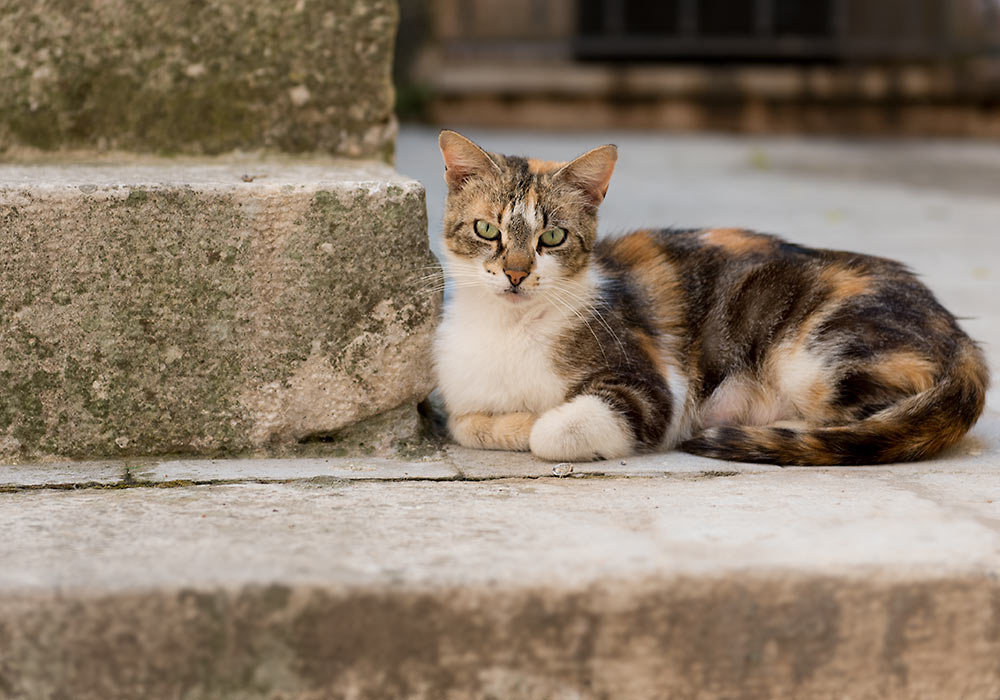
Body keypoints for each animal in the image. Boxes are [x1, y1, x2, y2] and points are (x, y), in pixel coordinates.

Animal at [434, 130, 988, 470]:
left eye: (552, 237)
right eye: (487, 230)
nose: (516, 273)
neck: (511, 330)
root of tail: (962, 339)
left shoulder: (654, 387)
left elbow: (552, 433)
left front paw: (532, 422)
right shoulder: (460, 393)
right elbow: (464, 424)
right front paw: (506, 422)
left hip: (819, 355)